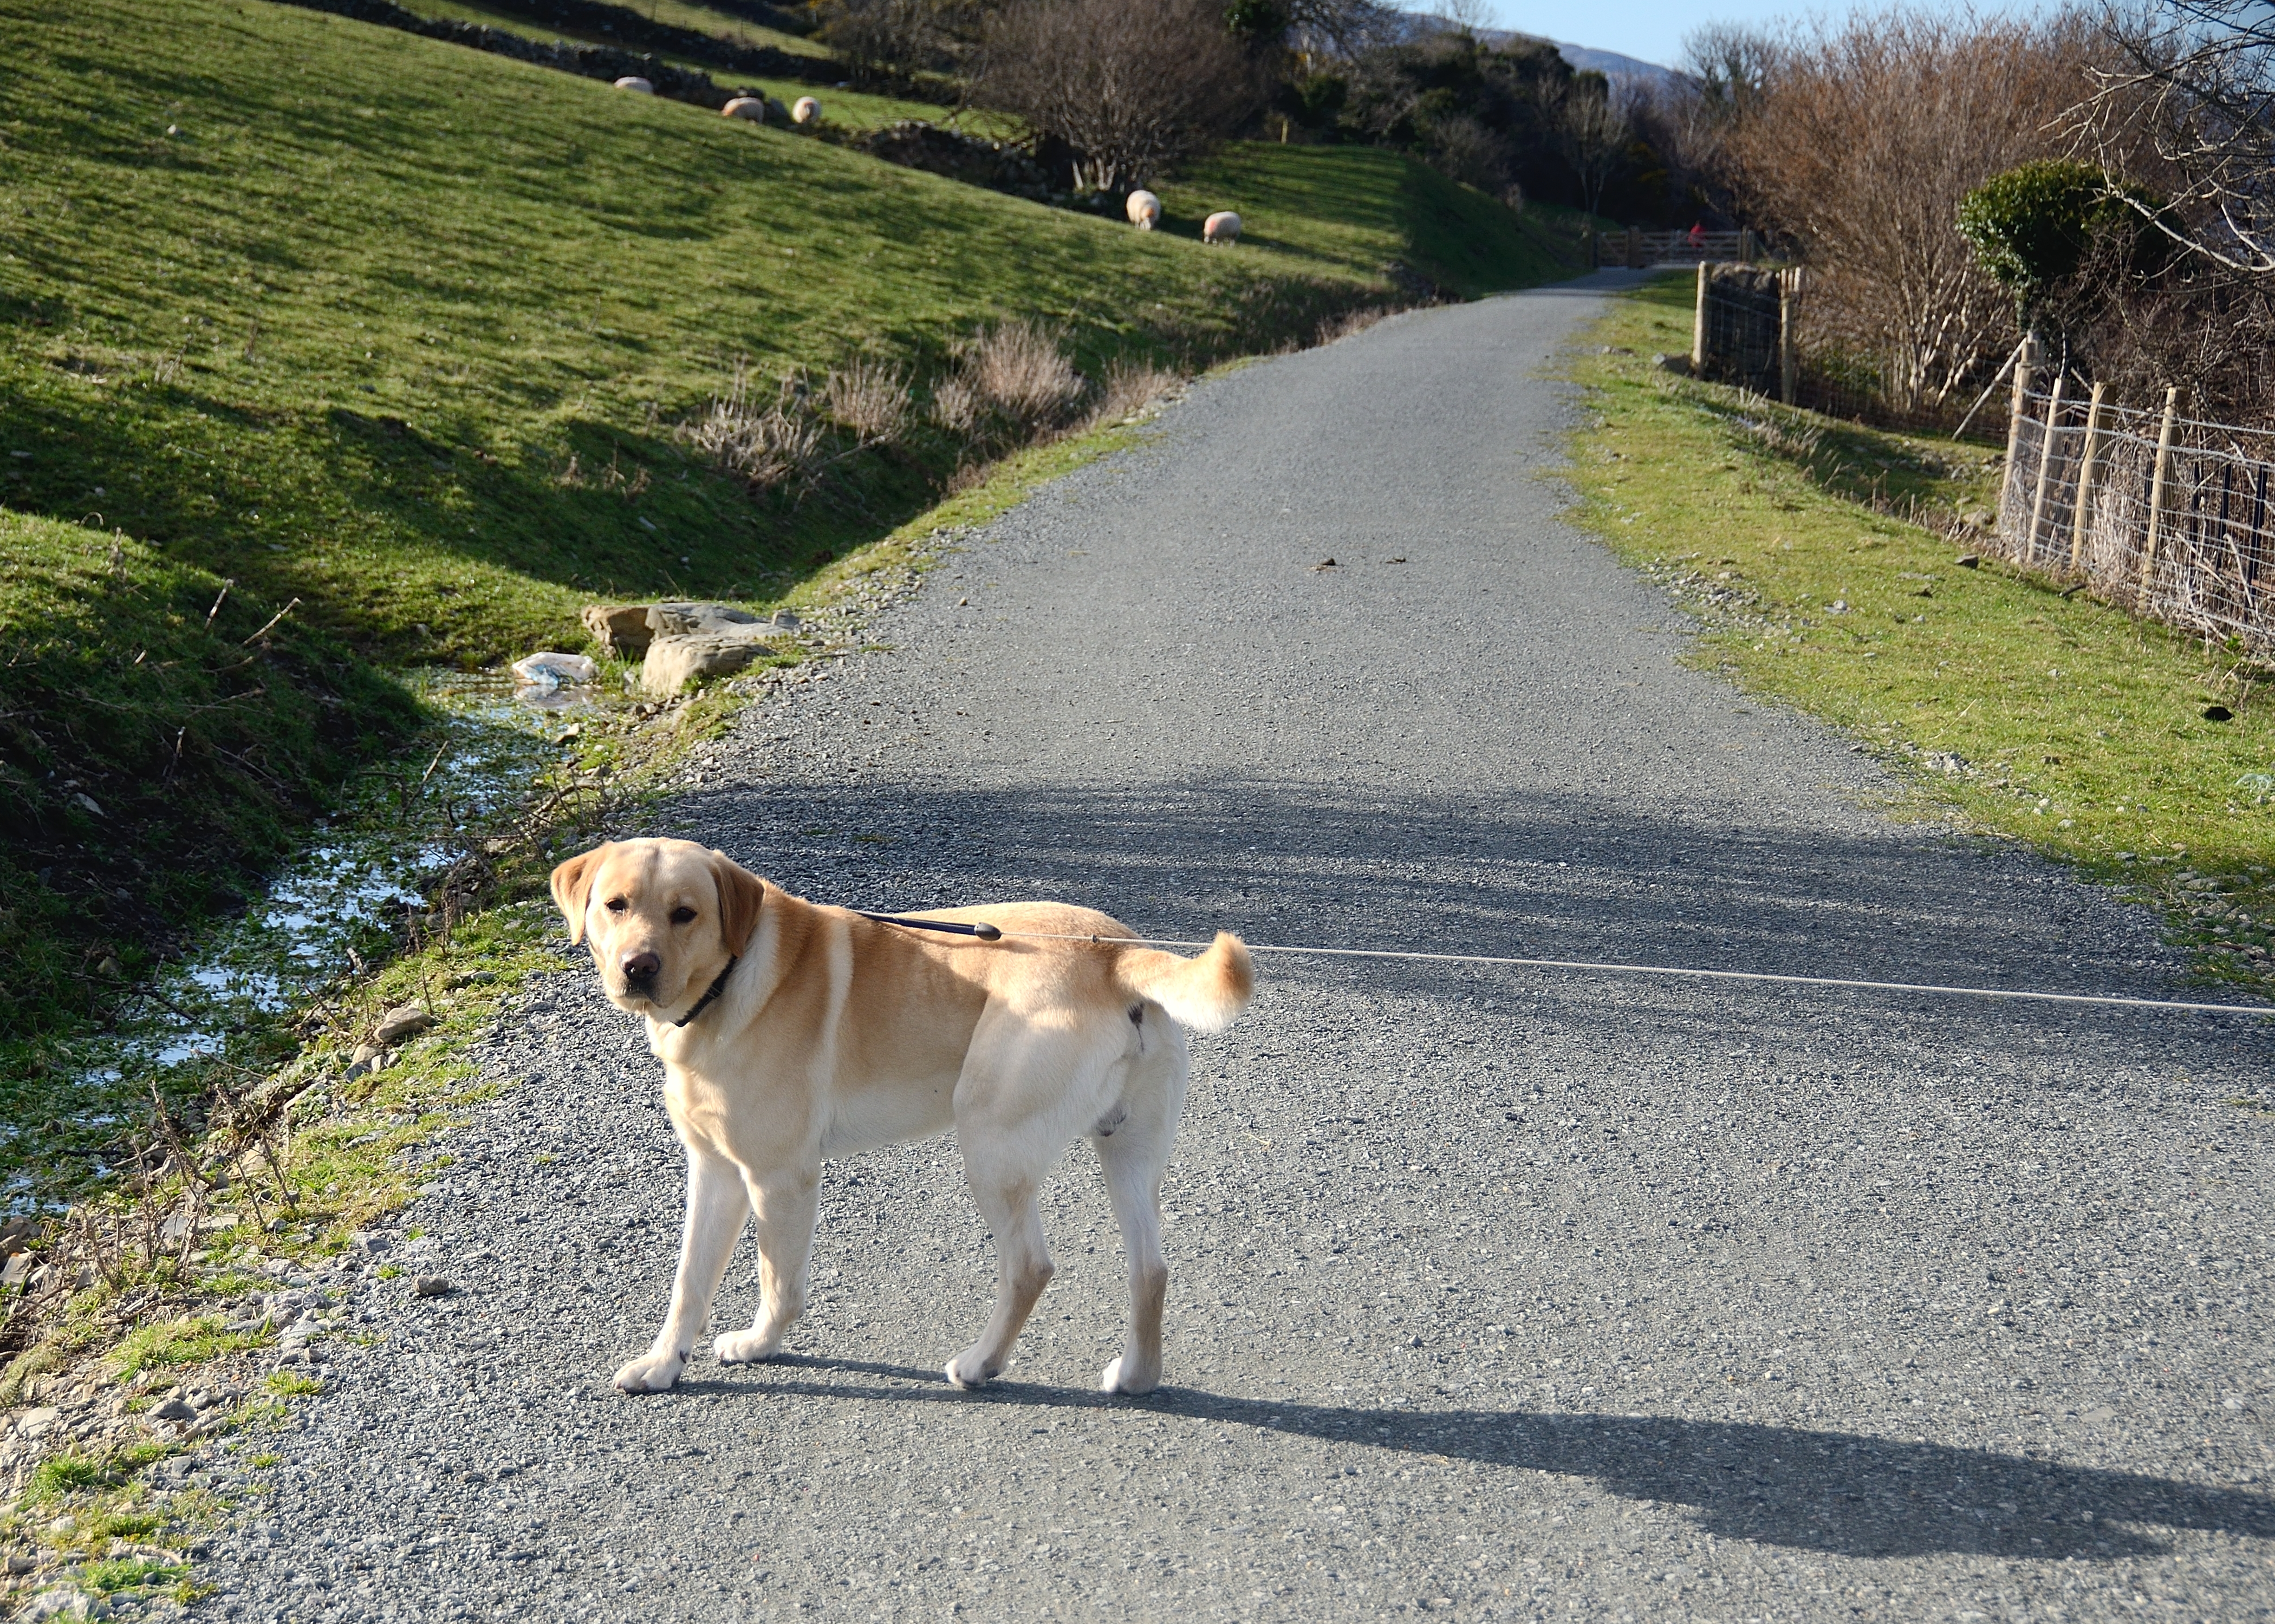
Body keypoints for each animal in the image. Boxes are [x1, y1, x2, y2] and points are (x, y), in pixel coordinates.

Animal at [552, 837, 1265, 1392]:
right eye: (616, 905)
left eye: (686, 913)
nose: (638, 967)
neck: (730, 977)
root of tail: (1118, 951)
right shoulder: (715, 1172)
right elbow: (689, 1281)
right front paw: (663, 1364)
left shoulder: (779, 1178)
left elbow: (777, 1281)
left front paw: (759, 1345)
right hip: (1128, 1151)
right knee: (1151, 1268)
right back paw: (1137, 1377)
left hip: (989, 1143)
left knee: (1029, 1266)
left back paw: (981, 1363)